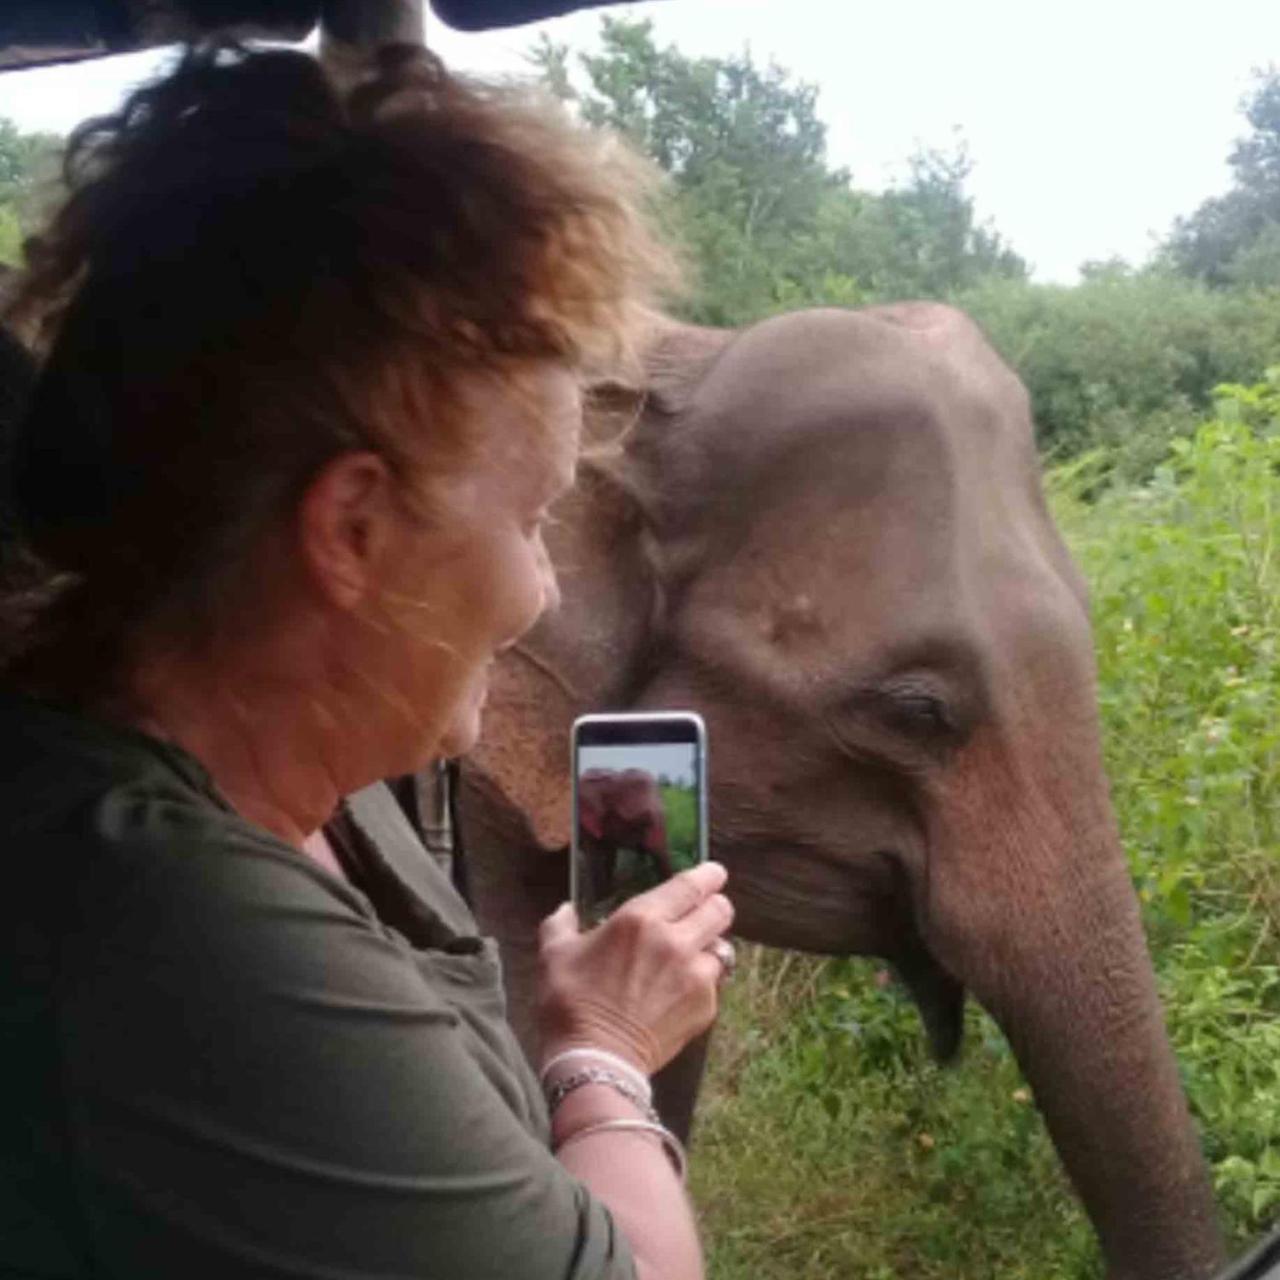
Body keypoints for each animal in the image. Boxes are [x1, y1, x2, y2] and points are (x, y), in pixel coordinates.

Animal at [578, 762, 675, 916]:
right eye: (644, 820)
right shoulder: (586, 823)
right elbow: (595, 859)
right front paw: (597, 907)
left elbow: (609, 856)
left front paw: (607, 898)